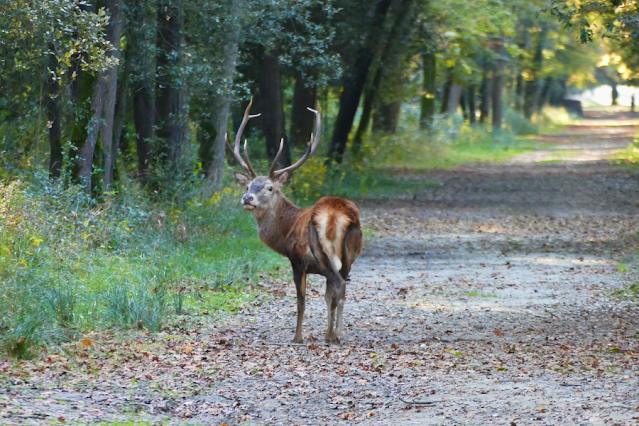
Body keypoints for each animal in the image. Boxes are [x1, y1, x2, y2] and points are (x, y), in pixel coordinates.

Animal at [228, 99, 362, 342]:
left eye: (270, 188)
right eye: (248, 186)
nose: (247, 198)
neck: (285, 231)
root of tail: (338, 215)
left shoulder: (297, 260)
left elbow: (301, 301)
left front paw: (297, 337)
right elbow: (327, 298)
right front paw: (325, 334)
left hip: (320, 251)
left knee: (339, 286)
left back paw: (335, 335)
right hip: (350, 254)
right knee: (341, 289)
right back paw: (335, 334)